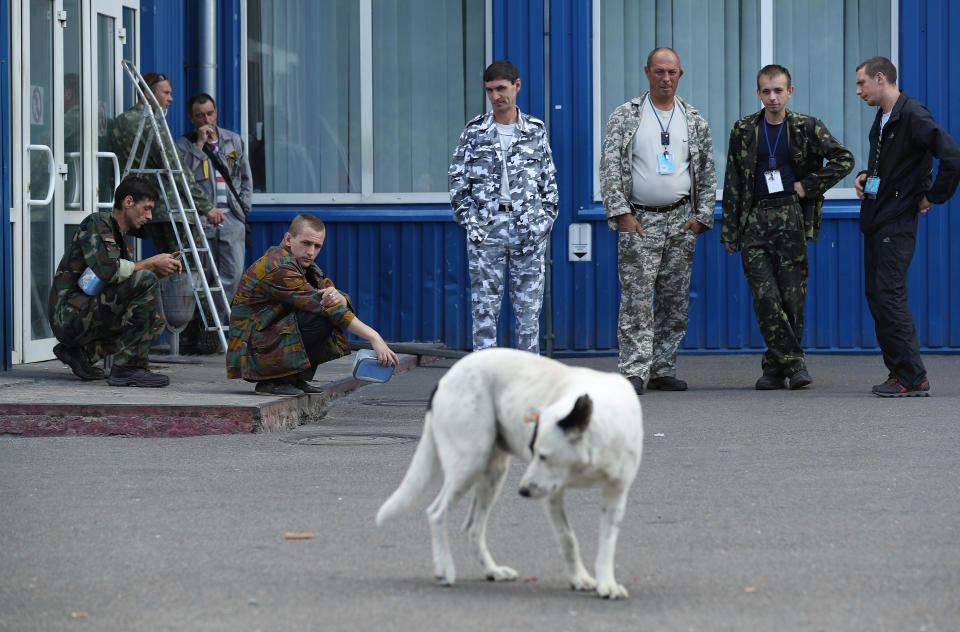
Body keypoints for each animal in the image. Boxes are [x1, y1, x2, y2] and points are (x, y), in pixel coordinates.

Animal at [376, 348, 644, 600]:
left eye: (543, 456)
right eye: (533, 451)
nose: (523, 491)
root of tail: (448, 376)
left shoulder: (616, 495)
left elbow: (607, 543)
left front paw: (606, 584)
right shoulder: (551, 494)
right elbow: (568, 538)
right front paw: (579, 579)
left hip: (493, 472)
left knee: (473, 528)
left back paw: (492, 571)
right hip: (470, 463)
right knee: (436, 512)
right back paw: (446, 570)